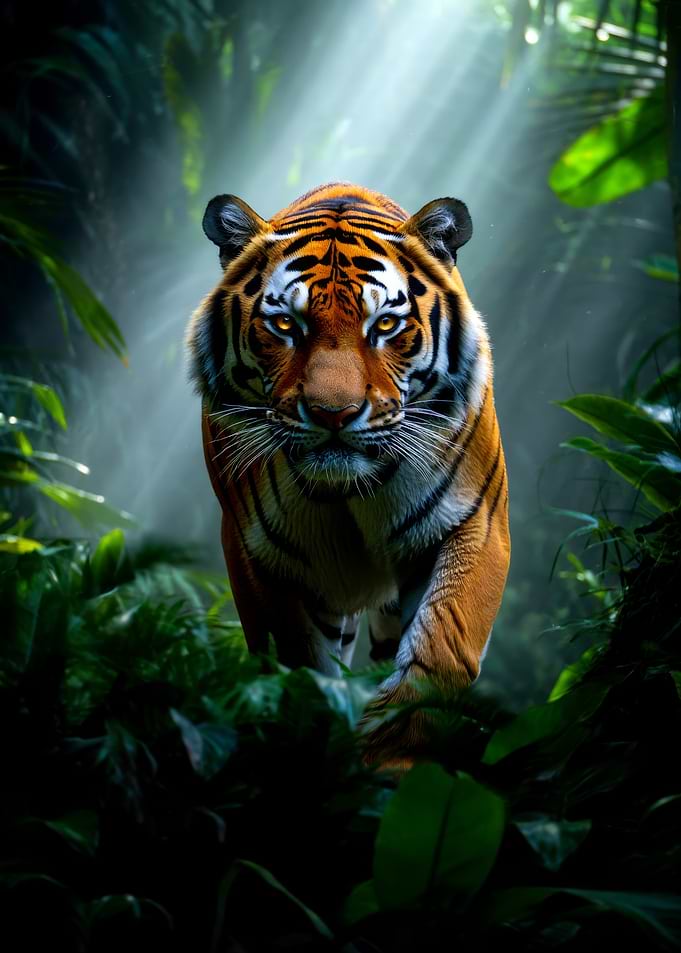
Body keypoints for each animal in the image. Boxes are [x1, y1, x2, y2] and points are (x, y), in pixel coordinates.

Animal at [187, 182, 510, 766]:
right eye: (285, 325)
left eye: (384, 324)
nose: (333, 413)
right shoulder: (254, 551)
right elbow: (295, 668)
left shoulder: (478, 521)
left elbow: (441, 652)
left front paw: (387, 756)